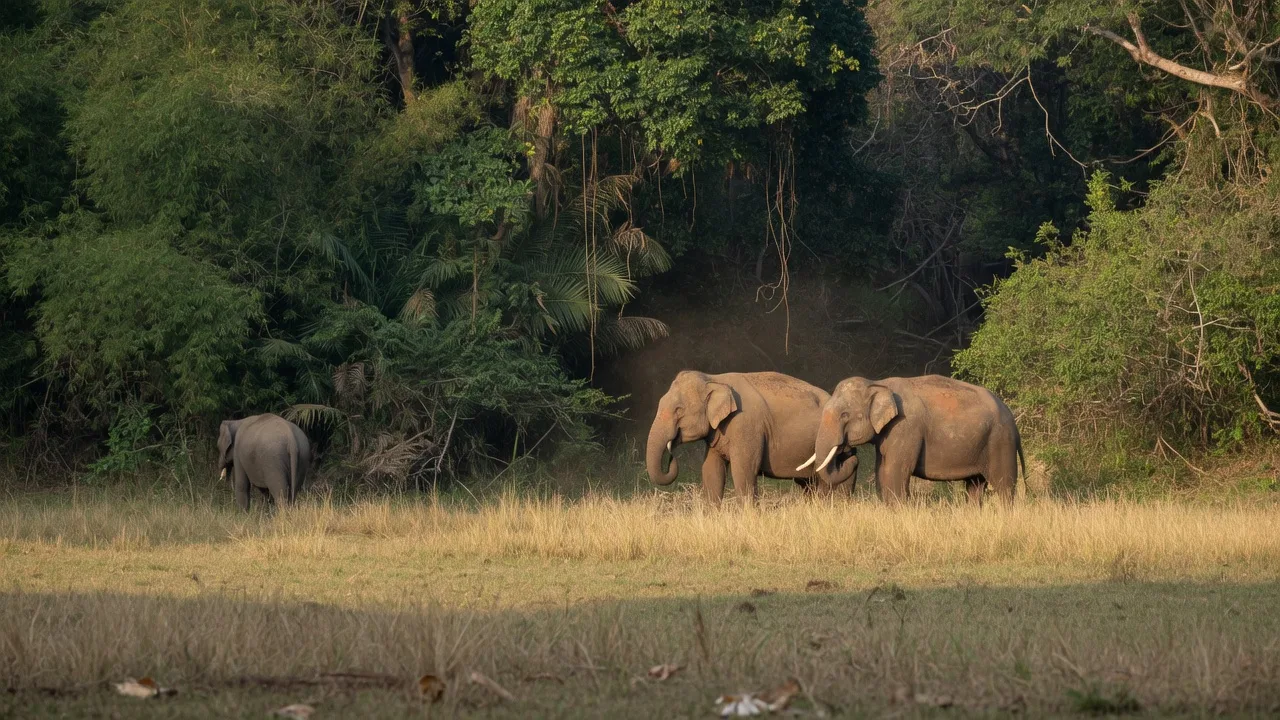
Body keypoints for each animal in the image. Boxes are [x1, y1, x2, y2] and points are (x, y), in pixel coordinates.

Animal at [646, 370, 857, 504]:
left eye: (678, 410)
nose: (671, 457)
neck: (713, 378)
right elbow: (711, 469)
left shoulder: (746, 425)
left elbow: (744, 468)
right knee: (808, 483)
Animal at [805, 375, 1025, 505]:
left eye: (844, 415)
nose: (850, 454)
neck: (878, 383)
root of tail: (1012, 418)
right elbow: (882, 471)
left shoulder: (905, 427)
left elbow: (895, 470)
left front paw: (899, 509)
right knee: (975, 486)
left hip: (1000, 441)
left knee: (1004, 486)